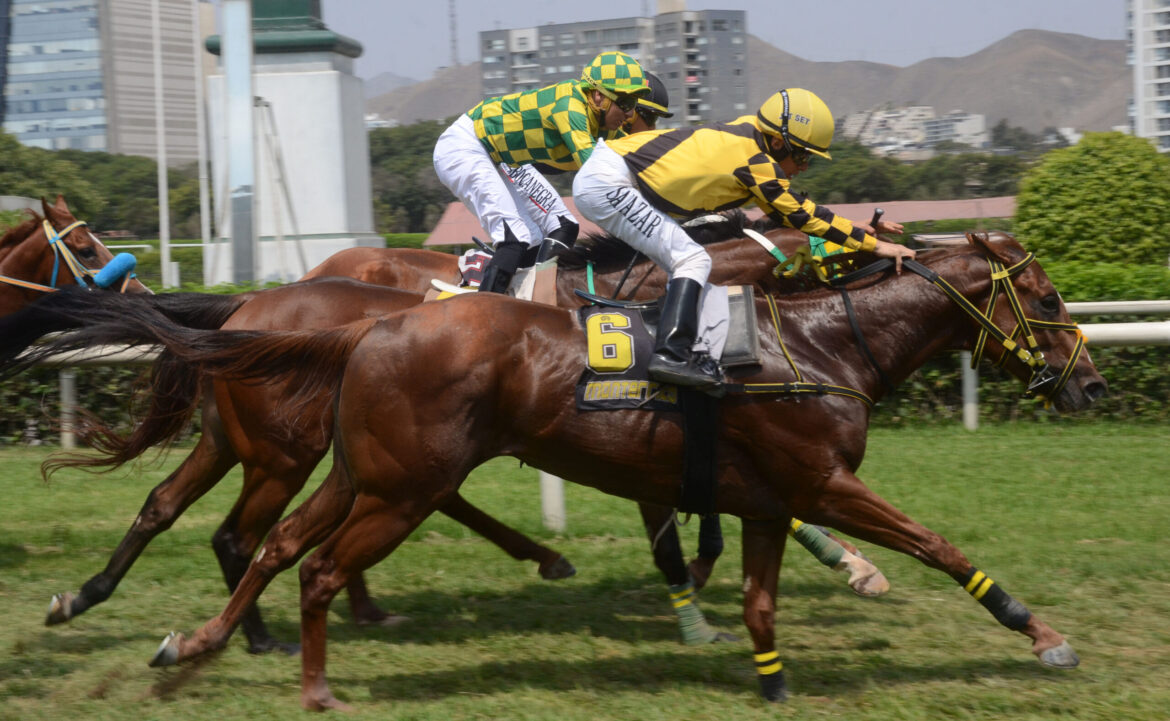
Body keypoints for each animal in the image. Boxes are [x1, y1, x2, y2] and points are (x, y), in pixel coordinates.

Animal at [13, 234, 1099, 706]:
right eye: (1046, 295)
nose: (1086, 381)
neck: (817, 346)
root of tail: (364, 324)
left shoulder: (763, 497)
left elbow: (758, 596)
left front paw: (768, 673)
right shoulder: (821, 482)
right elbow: (935, 543)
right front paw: (1040, 633)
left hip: (344, 468)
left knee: (257, 537)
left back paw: (189, 639)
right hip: (371, 474)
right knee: (294, 553)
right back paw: (303, 665)